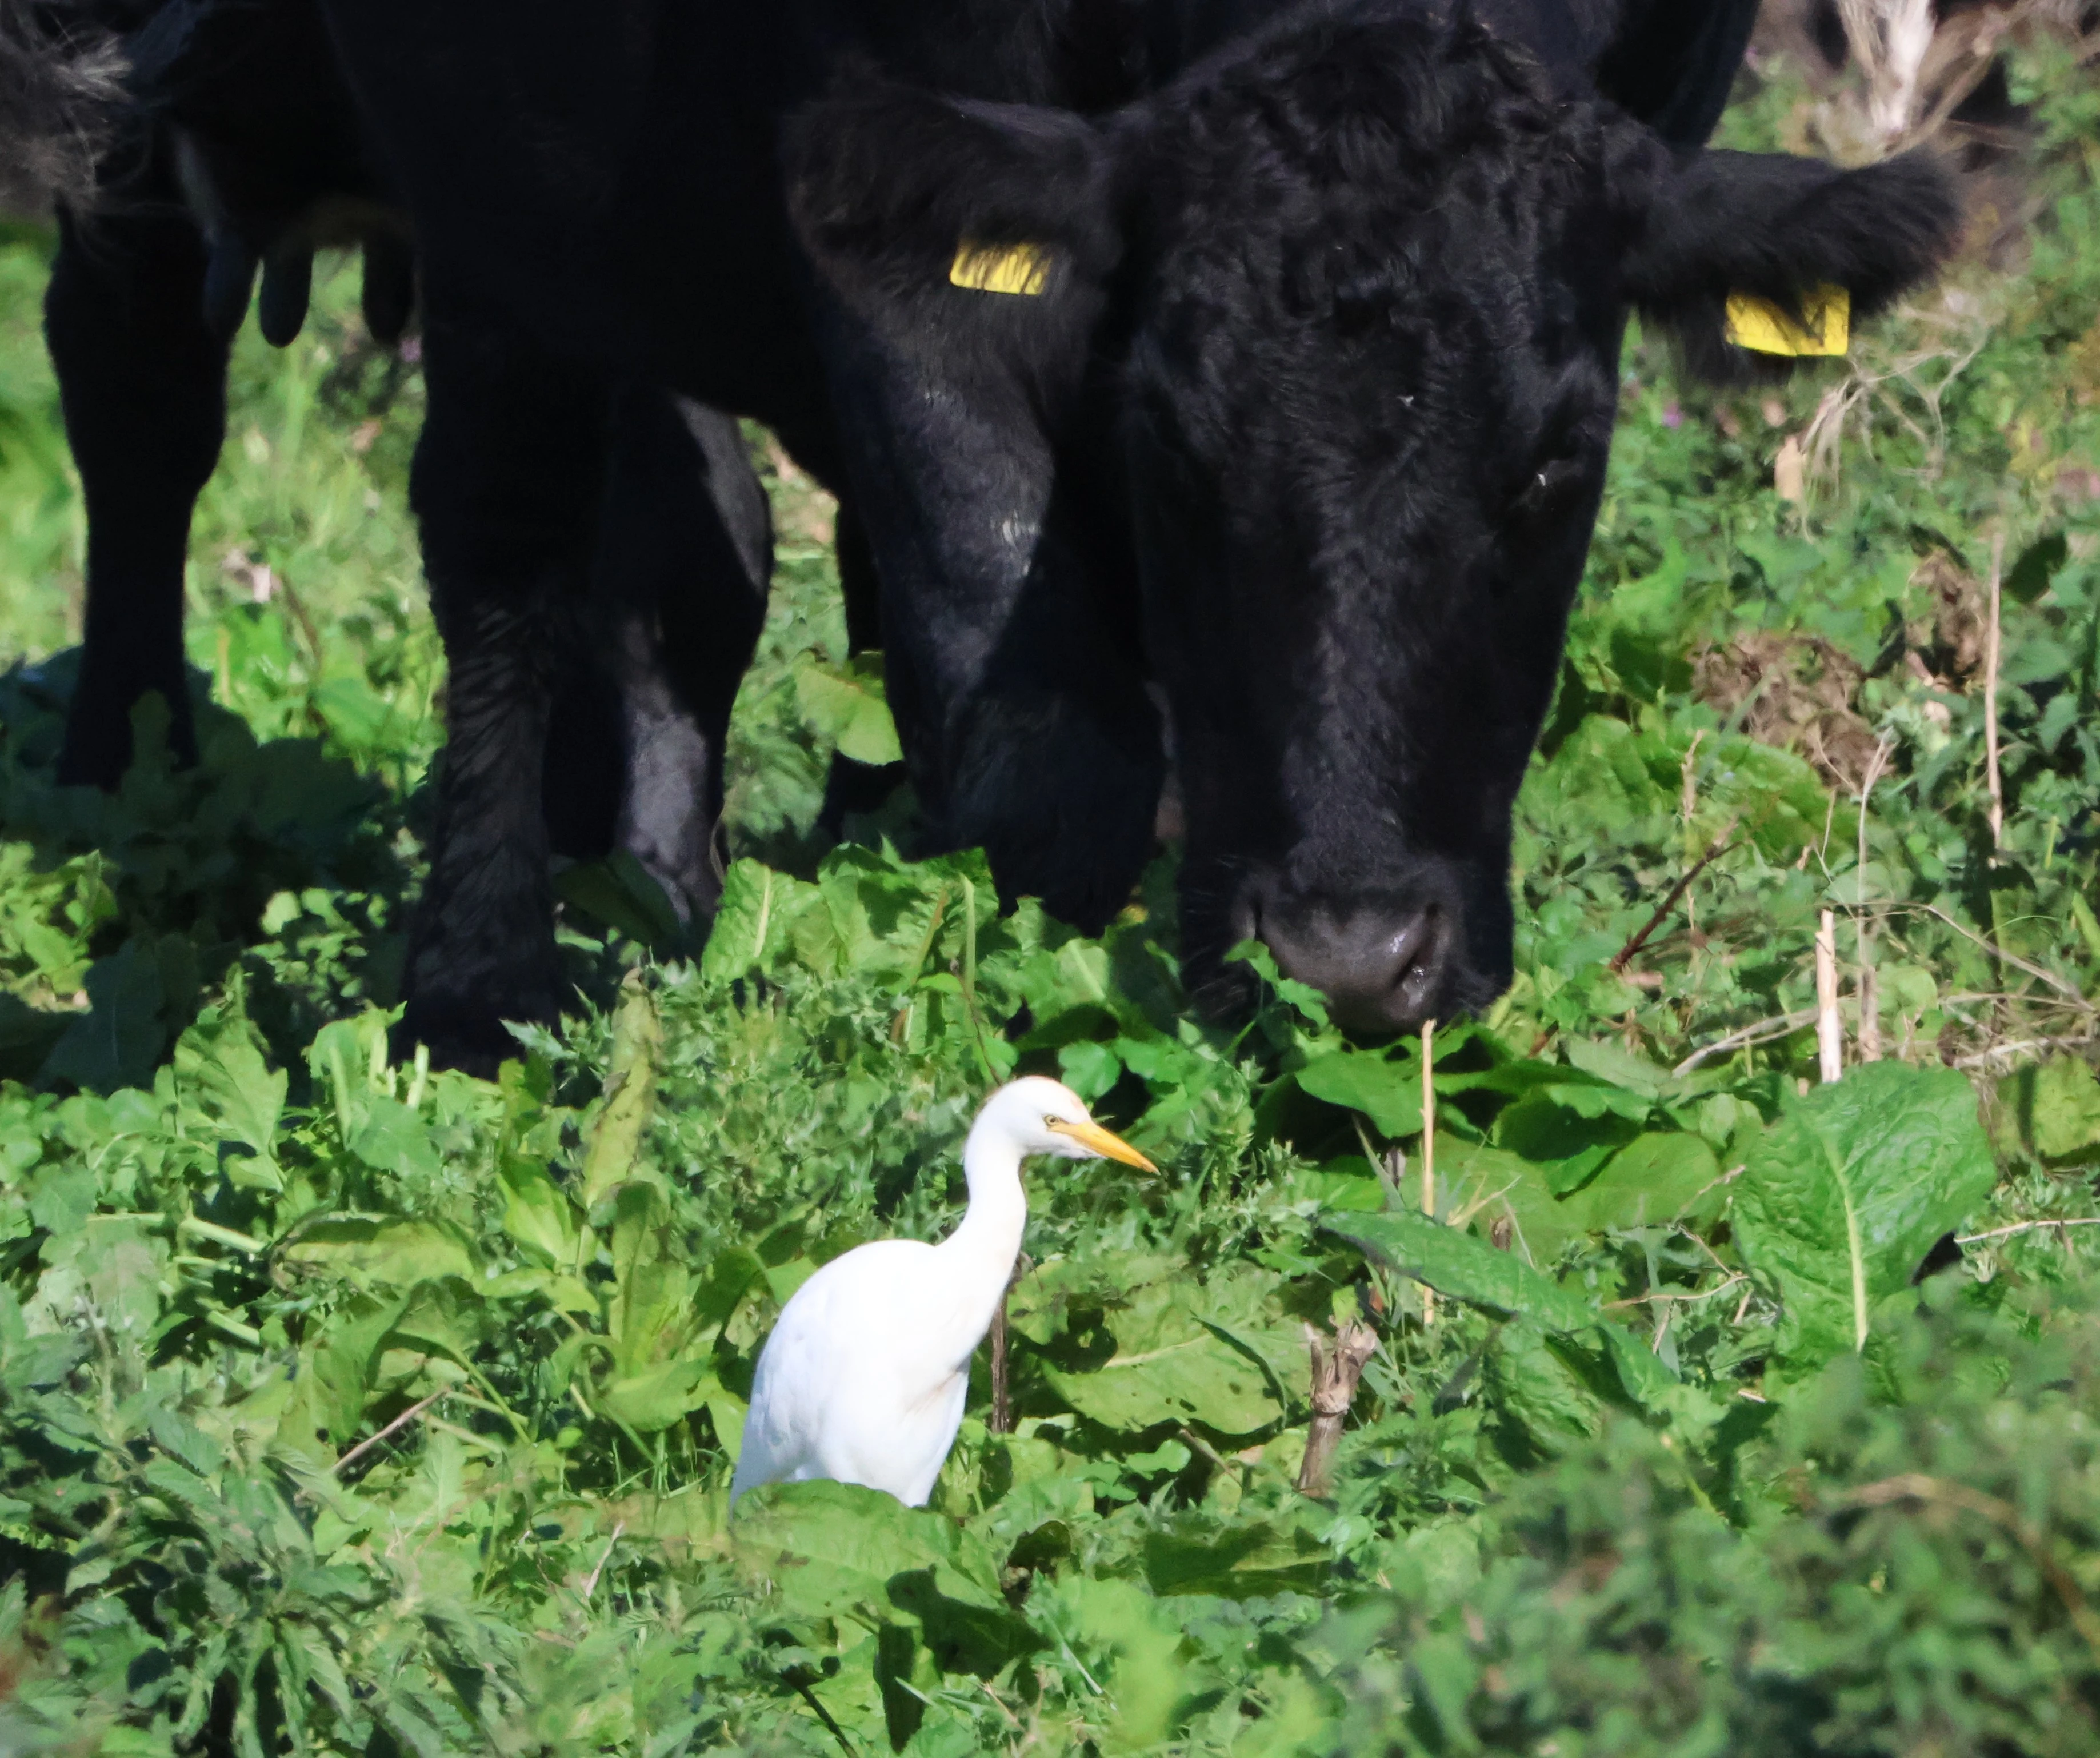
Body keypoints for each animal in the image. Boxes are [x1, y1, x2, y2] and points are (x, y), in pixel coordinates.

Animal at [285, 0, 1954, 1066]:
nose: (1350, 952)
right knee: (518, 548)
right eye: (1173, 437)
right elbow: (1054, 763)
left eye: (1561, 460)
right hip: (494, 214)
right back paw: (482, 989)